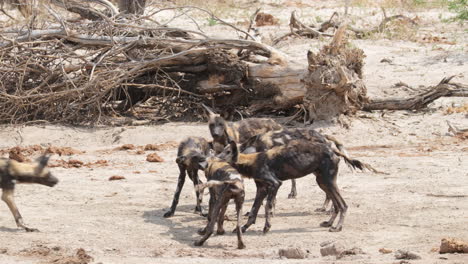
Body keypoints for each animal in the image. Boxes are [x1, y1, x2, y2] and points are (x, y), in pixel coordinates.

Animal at [221, 136, 374, 233]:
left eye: (226, 152)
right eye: (221, 151)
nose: (216, 158)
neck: (251, 161)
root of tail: (332, 149)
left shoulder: (275, 184)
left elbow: (267, 206)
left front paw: (267, 227)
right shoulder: (262, 189)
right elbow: (253, 211)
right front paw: (243, 228)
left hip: (328, 182)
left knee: (343, 205)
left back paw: (337, 227)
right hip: (323, 183)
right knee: (336, 205)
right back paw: (329, 223)